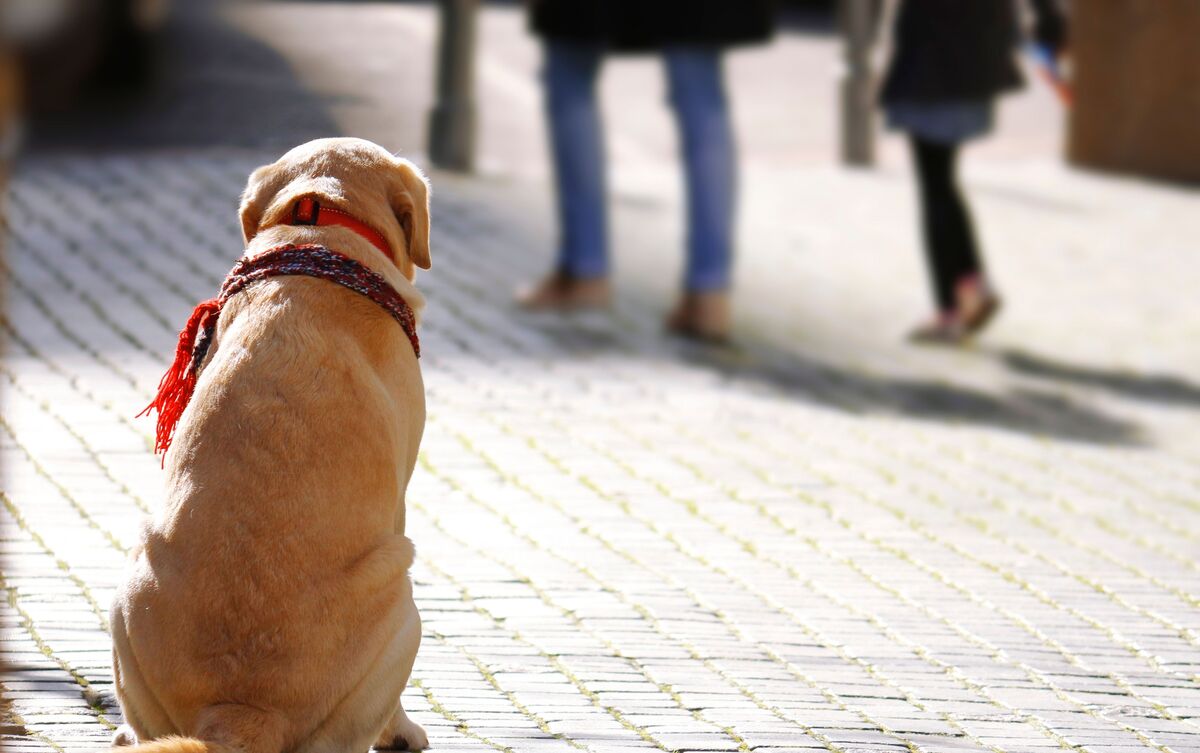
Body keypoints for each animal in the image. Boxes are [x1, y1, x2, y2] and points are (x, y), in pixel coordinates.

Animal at [110, 138, 434, 753]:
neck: (318, 225)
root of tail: (240, 714)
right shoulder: (402, 499)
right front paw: (404, 730)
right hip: (403, 598)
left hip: (128, 585)